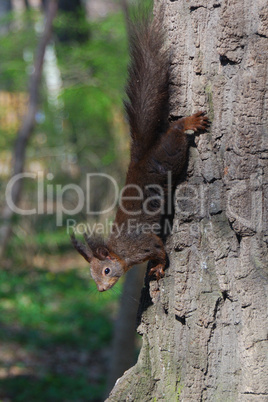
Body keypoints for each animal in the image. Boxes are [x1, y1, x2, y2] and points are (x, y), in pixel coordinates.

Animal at [71, 10, 209, 292]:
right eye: (93, 276)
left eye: (106, 270)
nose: (101, 289)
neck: (121, 253)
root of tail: (140, 158)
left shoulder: (144, 244)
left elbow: (160, 250)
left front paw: (158, 267)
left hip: (170, 154)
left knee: (175, 132)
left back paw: (188, 123)